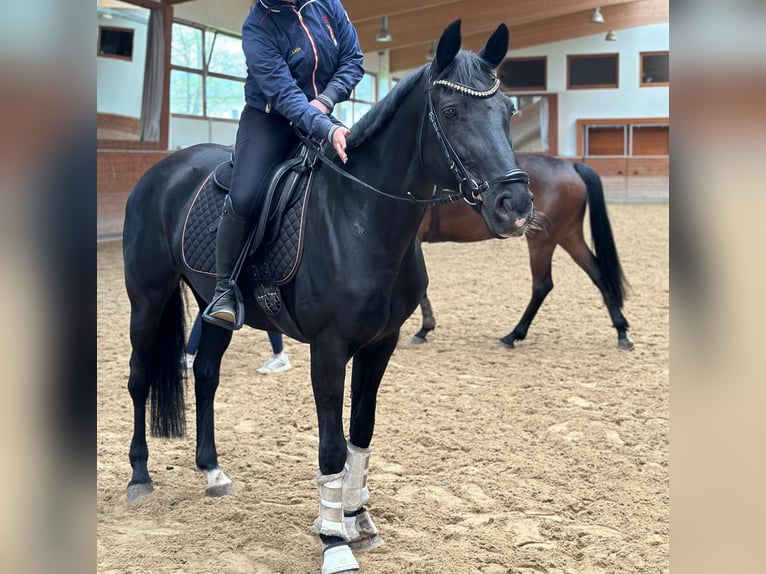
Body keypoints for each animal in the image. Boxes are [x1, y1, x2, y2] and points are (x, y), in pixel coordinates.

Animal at [123, 20, 536, 572]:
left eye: (507, 110)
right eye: (450, 112)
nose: (515, 205)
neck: (360, 217)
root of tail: (159, 172)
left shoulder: (380, 344)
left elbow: (361, 431)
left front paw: (358, 519)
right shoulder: (329, 348)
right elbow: (332, 445)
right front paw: (333, 540)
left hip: (214, 310)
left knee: (206, 375)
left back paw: (212, 472)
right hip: (147, 299)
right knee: (140, 378)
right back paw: (139, 476)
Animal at [414, 153, 636, 352]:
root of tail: (571, 166)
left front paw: (424, 328)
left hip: (542, 240)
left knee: (542, 285)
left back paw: (513, 335)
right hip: (569, 236)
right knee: (598, 274)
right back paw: (621, 331)